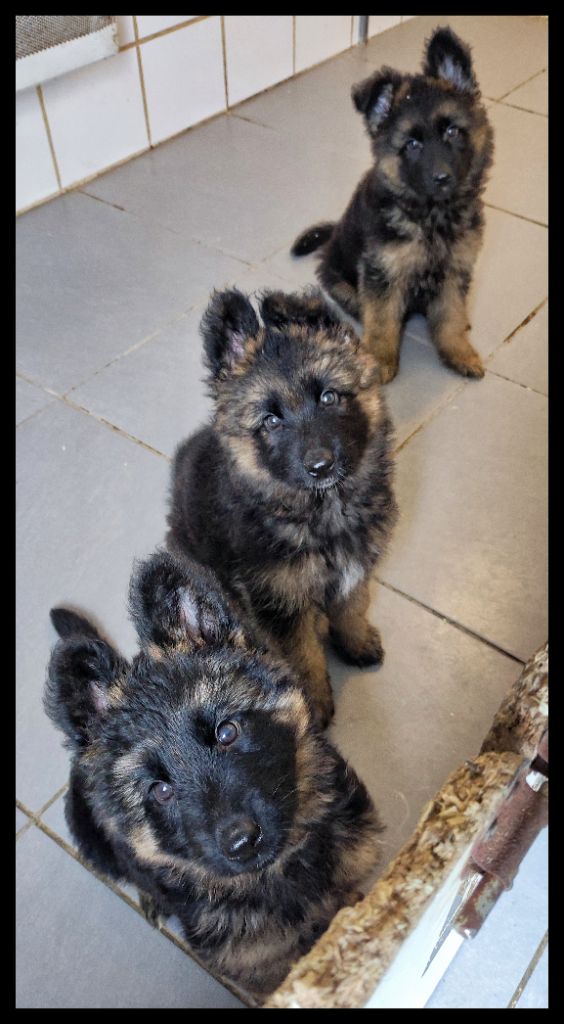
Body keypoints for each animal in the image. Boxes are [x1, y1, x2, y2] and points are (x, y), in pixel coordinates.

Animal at [44, 552, 382, 999]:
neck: (280, 872)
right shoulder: (263, 968)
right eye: (160, 790)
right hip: (89, 834)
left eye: (226, 732)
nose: (241, 842)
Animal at [166, 286, 397, 729]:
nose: (321, 466)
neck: (321, 510)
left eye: (328, 397)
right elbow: (303, 656)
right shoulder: (280, 601)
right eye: (271, 421)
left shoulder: (356, 568)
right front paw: (315, 704)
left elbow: (352, 608)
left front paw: (356, 643)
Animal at [290, 24, 495, 385]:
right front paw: (380, 361)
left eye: (453, 132)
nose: (442, 178)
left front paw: (458, 351)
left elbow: (451, 316)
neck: (432, 217)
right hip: (342, 282)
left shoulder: (455, 269)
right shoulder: (382, 274)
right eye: (411, 144)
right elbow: (383, 322)